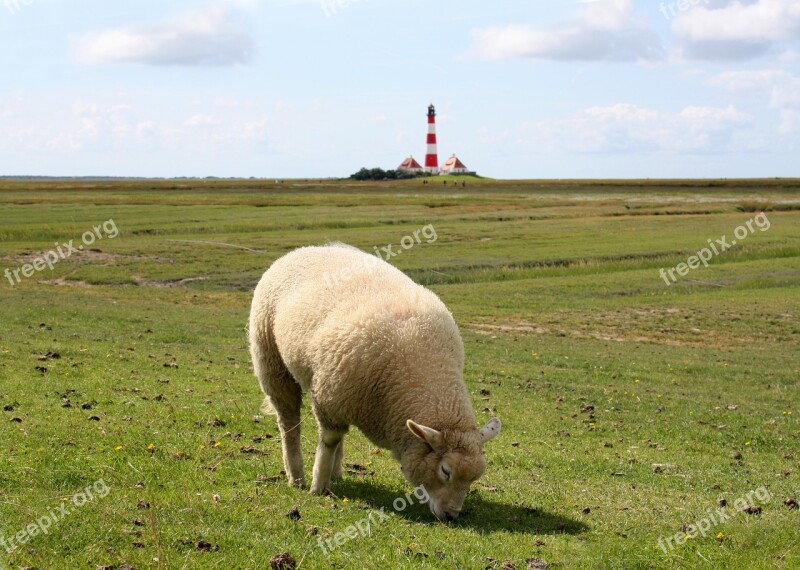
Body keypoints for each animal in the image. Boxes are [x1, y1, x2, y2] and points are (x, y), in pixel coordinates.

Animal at [250, 242, 500, 516]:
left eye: (474, 478)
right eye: (445, 471)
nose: (451, 516)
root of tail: (305, 248)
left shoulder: (342, 397)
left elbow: (335, 439)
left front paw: (327, 476)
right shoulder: (329, 397)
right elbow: (329, 441)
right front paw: (318, 486)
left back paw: (335, 473)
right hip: (272, 362)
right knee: (288, 423)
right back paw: (296, 477)